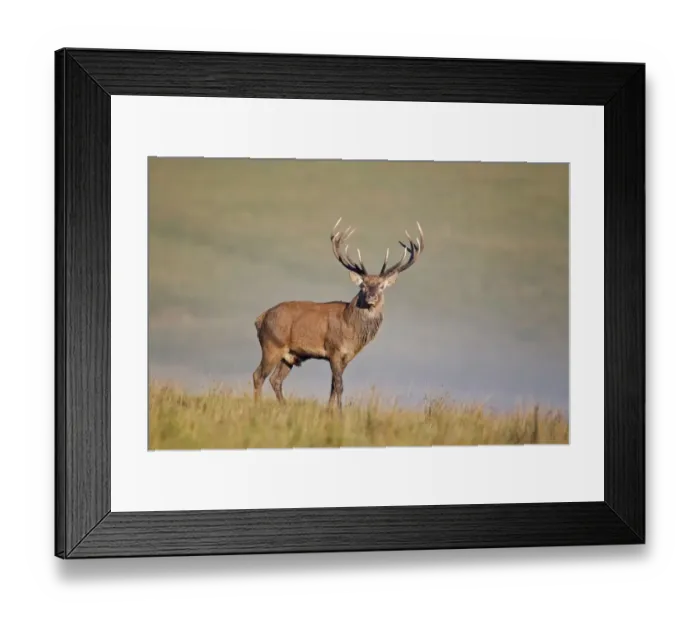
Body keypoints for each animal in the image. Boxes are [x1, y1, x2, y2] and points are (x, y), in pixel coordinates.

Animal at [252, 218, 424, 412]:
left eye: (381, 286)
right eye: (363, 285)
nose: (371, 297)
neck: (351, 328)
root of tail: (260, 318)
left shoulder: (348, 356)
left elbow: (334, 386)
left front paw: (330, 410)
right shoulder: (333, 350)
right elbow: (339, 385)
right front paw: (339, 412)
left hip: (290, 355)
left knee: (275, 380)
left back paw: (285, 406)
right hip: (272, 345)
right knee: (258, 375)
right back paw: (257, 405)